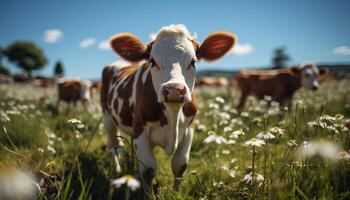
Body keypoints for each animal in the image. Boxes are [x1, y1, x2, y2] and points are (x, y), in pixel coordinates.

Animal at [101, 24, 237, 193]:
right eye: (152, 61)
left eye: (193, 61)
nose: (174, 89)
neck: (173, 114)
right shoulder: (140, 128)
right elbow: (148, 169)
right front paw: (149, 194)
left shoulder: (189, 128)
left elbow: (180, 165)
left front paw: (176, 192)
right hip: (107, 117)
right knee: (113, 145)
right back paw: (117, 170)